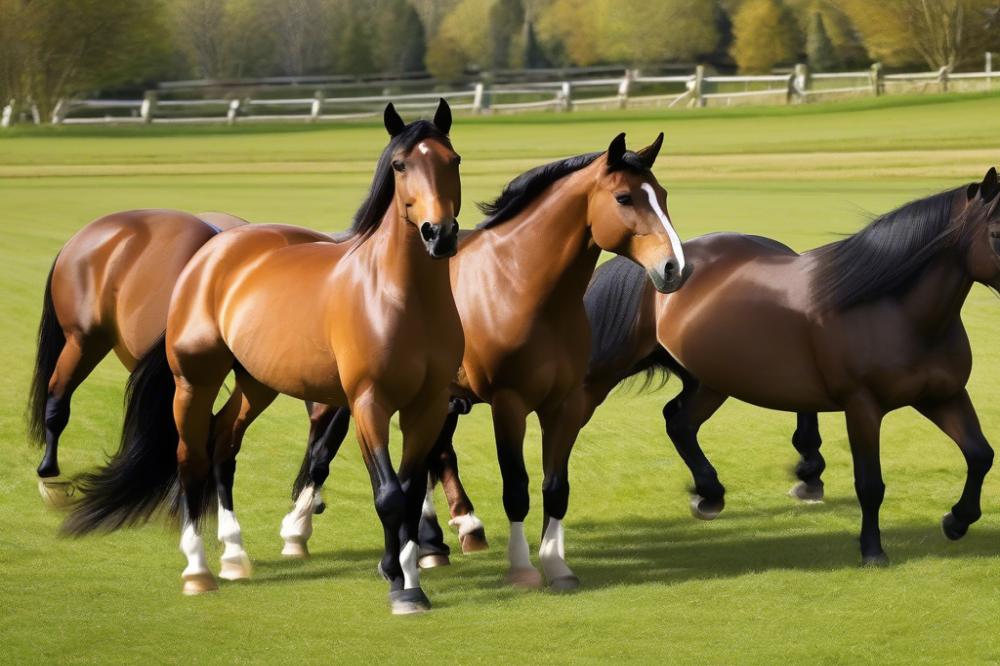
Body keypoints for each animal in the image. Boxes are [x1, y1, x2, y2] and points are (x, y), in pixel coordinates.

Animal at [63, 100, 463, 616]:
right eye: (400, 165)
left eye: (452, 160)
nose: (439, 234)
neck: (399, 297)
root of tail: (210, 251)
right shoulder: (368, 404)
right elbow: (391, 496)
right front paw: (401, 585)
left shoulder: (427, 406)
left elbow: (412, 496)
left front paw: (408, 576)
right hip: (194, 382)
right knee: (191, 457)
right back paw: (198, 571)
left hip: (256, 385)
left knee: (223, 445)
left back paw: (234, 555)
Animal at [287, 132, 687, 589]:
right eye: (624, 197)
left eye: (662, 195)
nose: (674, 268)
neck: (519, 284)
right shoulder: (508, 403)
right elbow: (516, 487)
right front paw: (522, 567)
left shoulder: (564, 404)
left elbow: (556, 487)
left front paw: (557, 565)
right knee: (324, 450)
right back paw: (298, 531)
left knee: (431, 459)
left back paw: (434, 542)